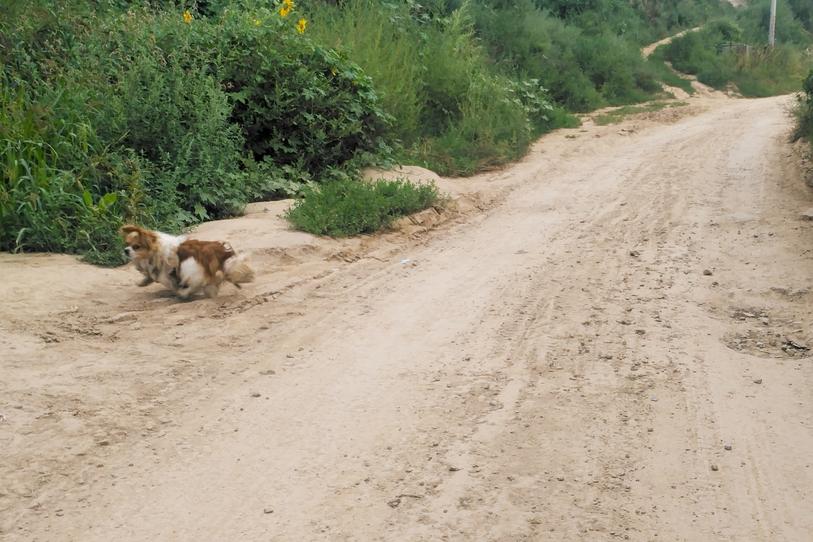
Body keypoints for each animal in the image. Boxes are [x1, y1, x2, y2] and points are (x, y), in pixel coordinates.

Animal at [119, 226, 254, 302]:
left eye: (136, 247)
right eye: (127, 243)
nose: (125, 250)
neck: (157, 249)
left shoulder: (166, 272)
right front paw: (143, 281)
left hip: (189, 267)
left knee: (195, 284)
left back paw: (183, 294)